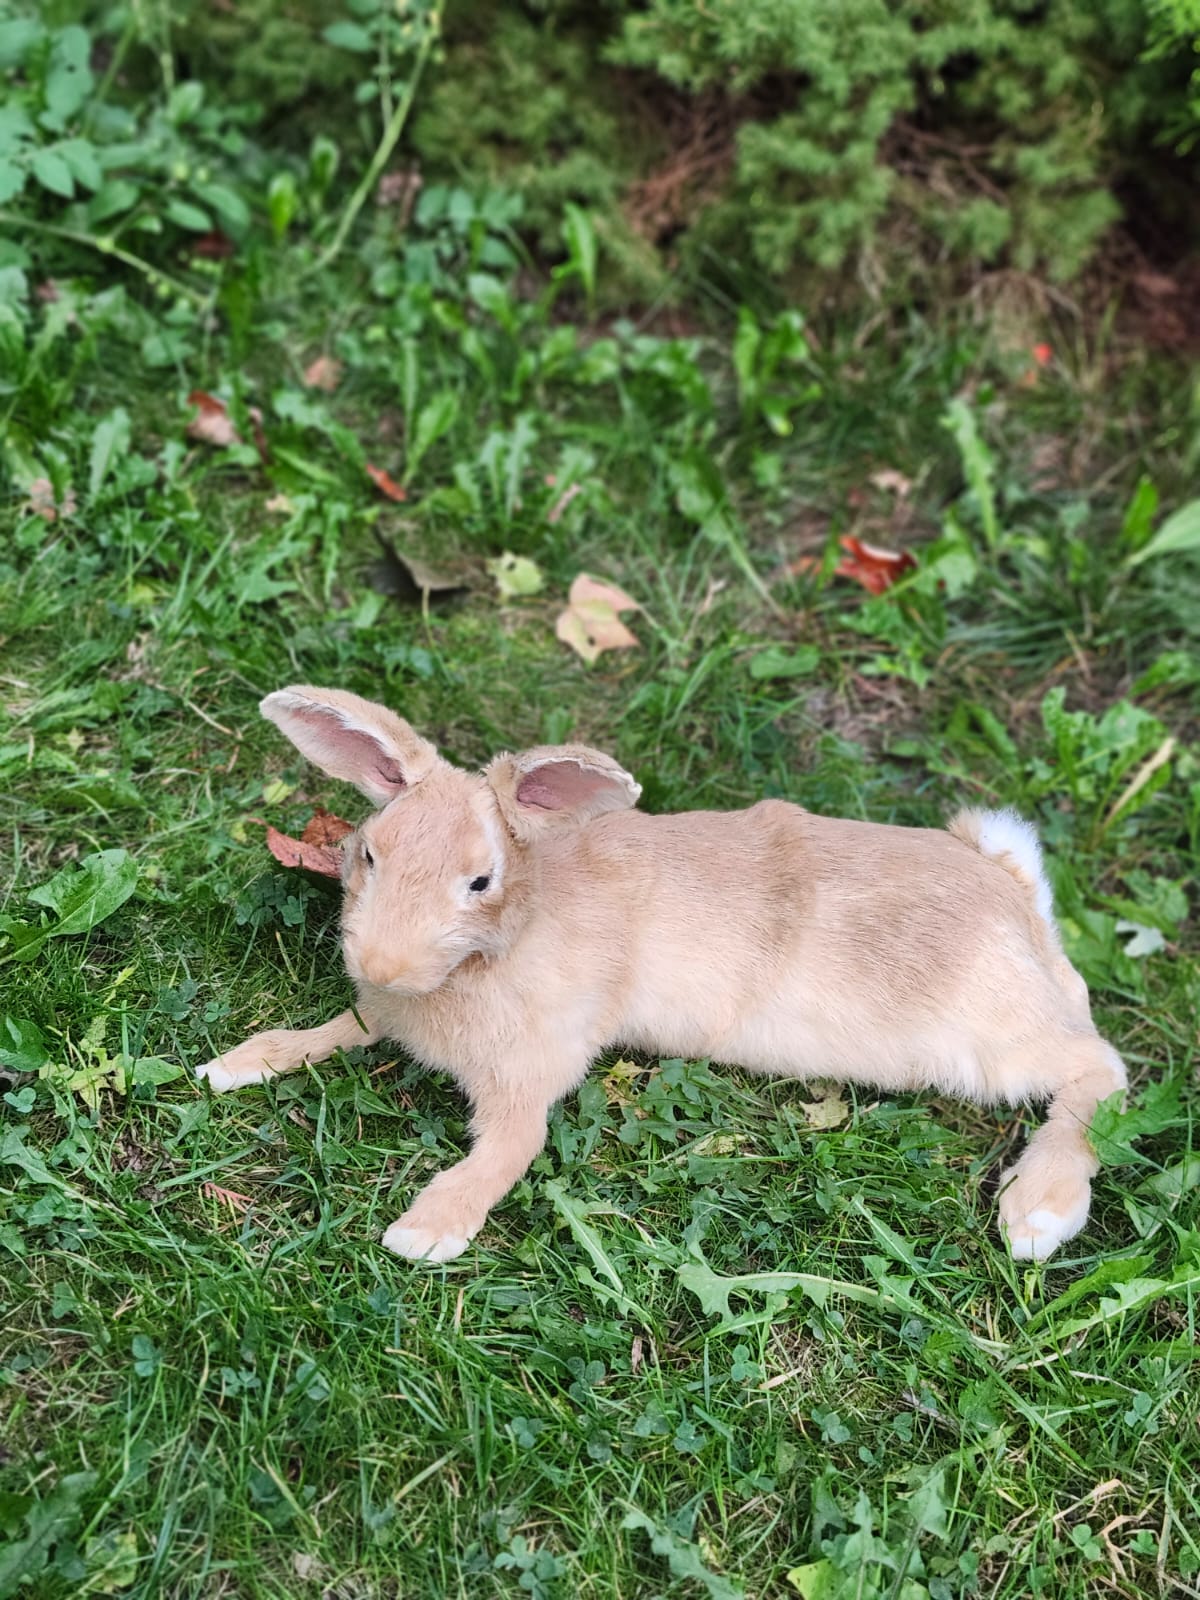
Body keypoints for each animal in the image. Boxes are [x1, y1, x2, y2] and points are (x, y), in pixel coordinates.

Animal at [197, 685, 1127, 1266]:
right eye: (369, 853)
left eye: (480, 881)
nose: (381, 964)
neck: (504, 942)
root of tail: (1012, 890)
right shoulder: (379, 1019)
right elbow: (319, 1035)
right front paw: (232, 1065)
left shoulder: (531, 1075)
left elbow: (508, 1151)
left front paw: (427, 1233)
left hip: (986, 1042)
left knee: (1099, 1071)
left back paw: (1038, 1213)